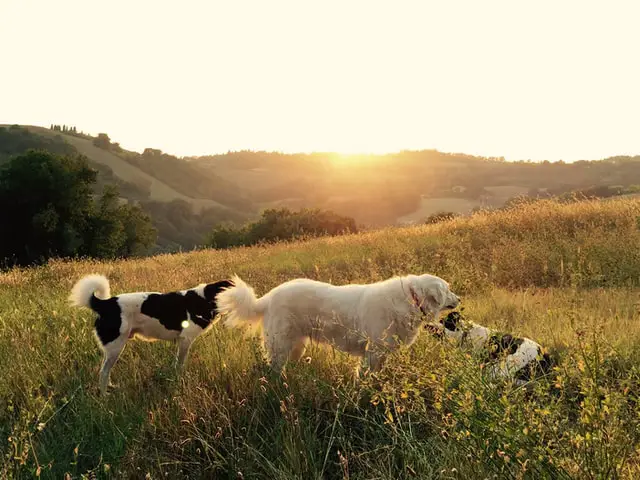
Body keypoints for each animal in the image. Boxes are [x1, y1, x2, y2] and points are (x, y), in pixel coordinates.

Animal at [69, 274, 232, 394]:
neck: (205, 298)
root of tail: (106, 303)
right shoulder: (185, 340)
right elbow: (180, 364)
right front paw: (179, 380)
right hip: (116, 346)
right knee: (103, 372)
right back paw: (104, 396)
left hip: (113, 349)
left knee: (106, 370)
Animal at [216, 274, 460, 372]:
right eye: (448, 289)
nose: (459, 299)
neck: (411, 299)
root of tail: (267, 298)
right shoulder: (373, 352)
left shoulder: (382, 354)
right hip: (280, 346)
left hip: (296, 346)